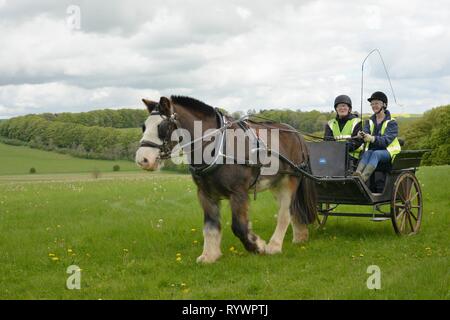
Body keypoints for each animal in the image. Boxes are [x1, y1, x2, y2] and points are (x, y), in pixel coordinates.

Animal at [134, 95, 316, 262]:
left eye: (162, 126)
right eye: (144, 126)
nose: (143, 159)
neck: (218, 146)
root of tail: (297, 135)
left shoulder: (238, 192)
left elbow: (239, 227)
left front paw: (257, 246)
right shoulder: (206, 194)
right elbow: (210, 226)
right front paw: (210, 255)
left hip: (290, 180)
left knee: (285, 212)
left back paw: (274, 246)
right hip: (276, 184)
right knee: (291, 209)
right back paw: (300, 236)